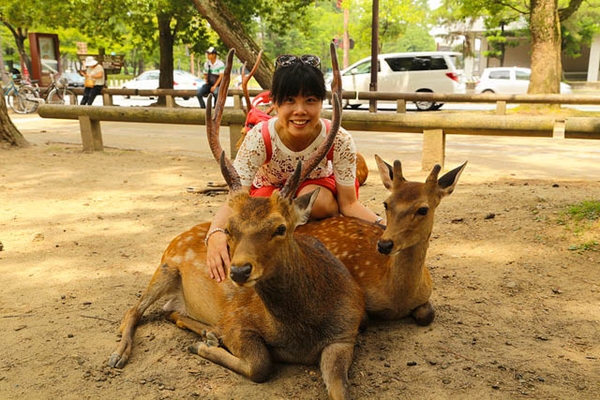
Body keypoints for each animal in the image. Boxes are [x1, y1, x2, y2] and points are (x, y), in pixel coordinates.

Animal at [108, 43, 366, 400]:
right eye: (229, 230)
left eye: (281, 228)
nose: (239, 271)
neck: (299, 332)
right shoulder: (237, 318)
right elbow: (261, 364)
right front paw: (205, 348)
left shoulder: (346, 332)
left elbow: (340, 389)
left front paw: (208, 341)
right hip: (165, 266)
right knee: (134, 310)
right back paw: (120, 354)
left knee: (171, 311)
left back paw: (205, 333)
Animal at [298, 155, 466, 324]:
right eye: (386, 204)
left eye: (423, 209)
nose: (384, 244)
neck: (399, 301)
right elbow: (364, 319)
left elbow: (428, 314)